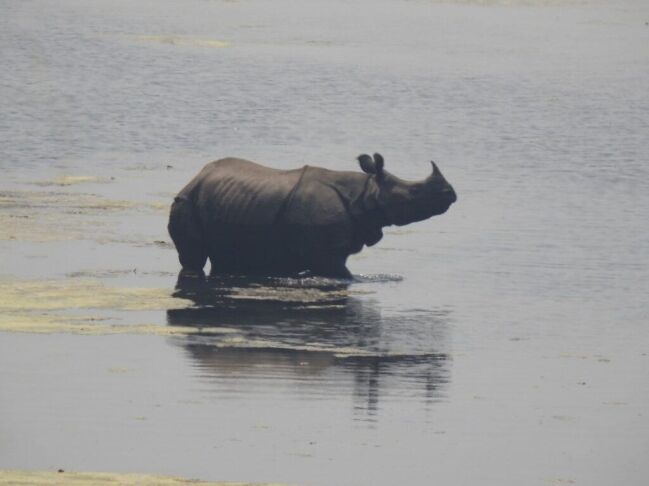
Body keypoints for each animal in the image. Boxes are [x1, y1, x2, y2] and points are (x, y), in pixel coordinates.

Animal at [168, 153, 456, 278]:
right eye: (415, 192)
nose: (451, 194)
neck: (366, 193)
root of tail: (194, 178)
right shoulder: (325, 253)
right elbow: (343, 275)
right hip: (185, 202)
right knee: (193, 260)